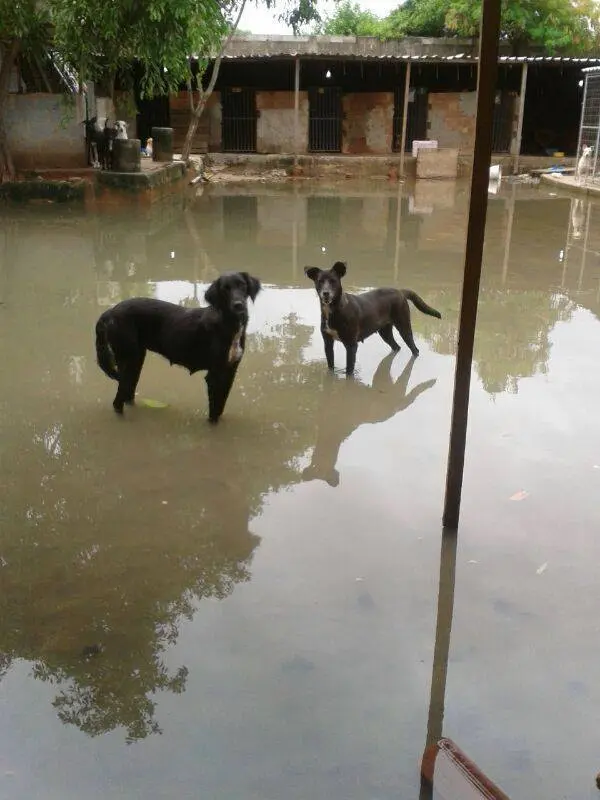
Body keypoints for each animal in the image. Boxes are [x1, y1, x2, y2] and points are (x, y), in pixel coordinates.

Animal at [95, 272, 260, 422]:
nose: (238, 305)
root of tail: (110, 311)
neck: (228, 324)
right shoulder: (215, 374)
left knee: (127, 394)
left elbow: (221, 406)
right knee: (118, 401)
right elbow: (214, 411)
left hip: (136, 359)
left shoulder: (230, 370)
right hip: (127, 358)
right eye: (225, 289)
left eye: (242, 285)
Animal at [304, 260, 440, 376]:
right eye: (320, 281)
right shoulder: (327, 343)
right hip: (385, 332)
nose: (325, 293)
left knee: (415, 349)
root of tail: (400, 291)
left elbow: (349, 372)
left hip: (404, 326)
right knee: (396, 347)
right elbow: (330, 367)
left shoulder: (351, 345)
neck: (335, 310)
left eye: (333, 281)